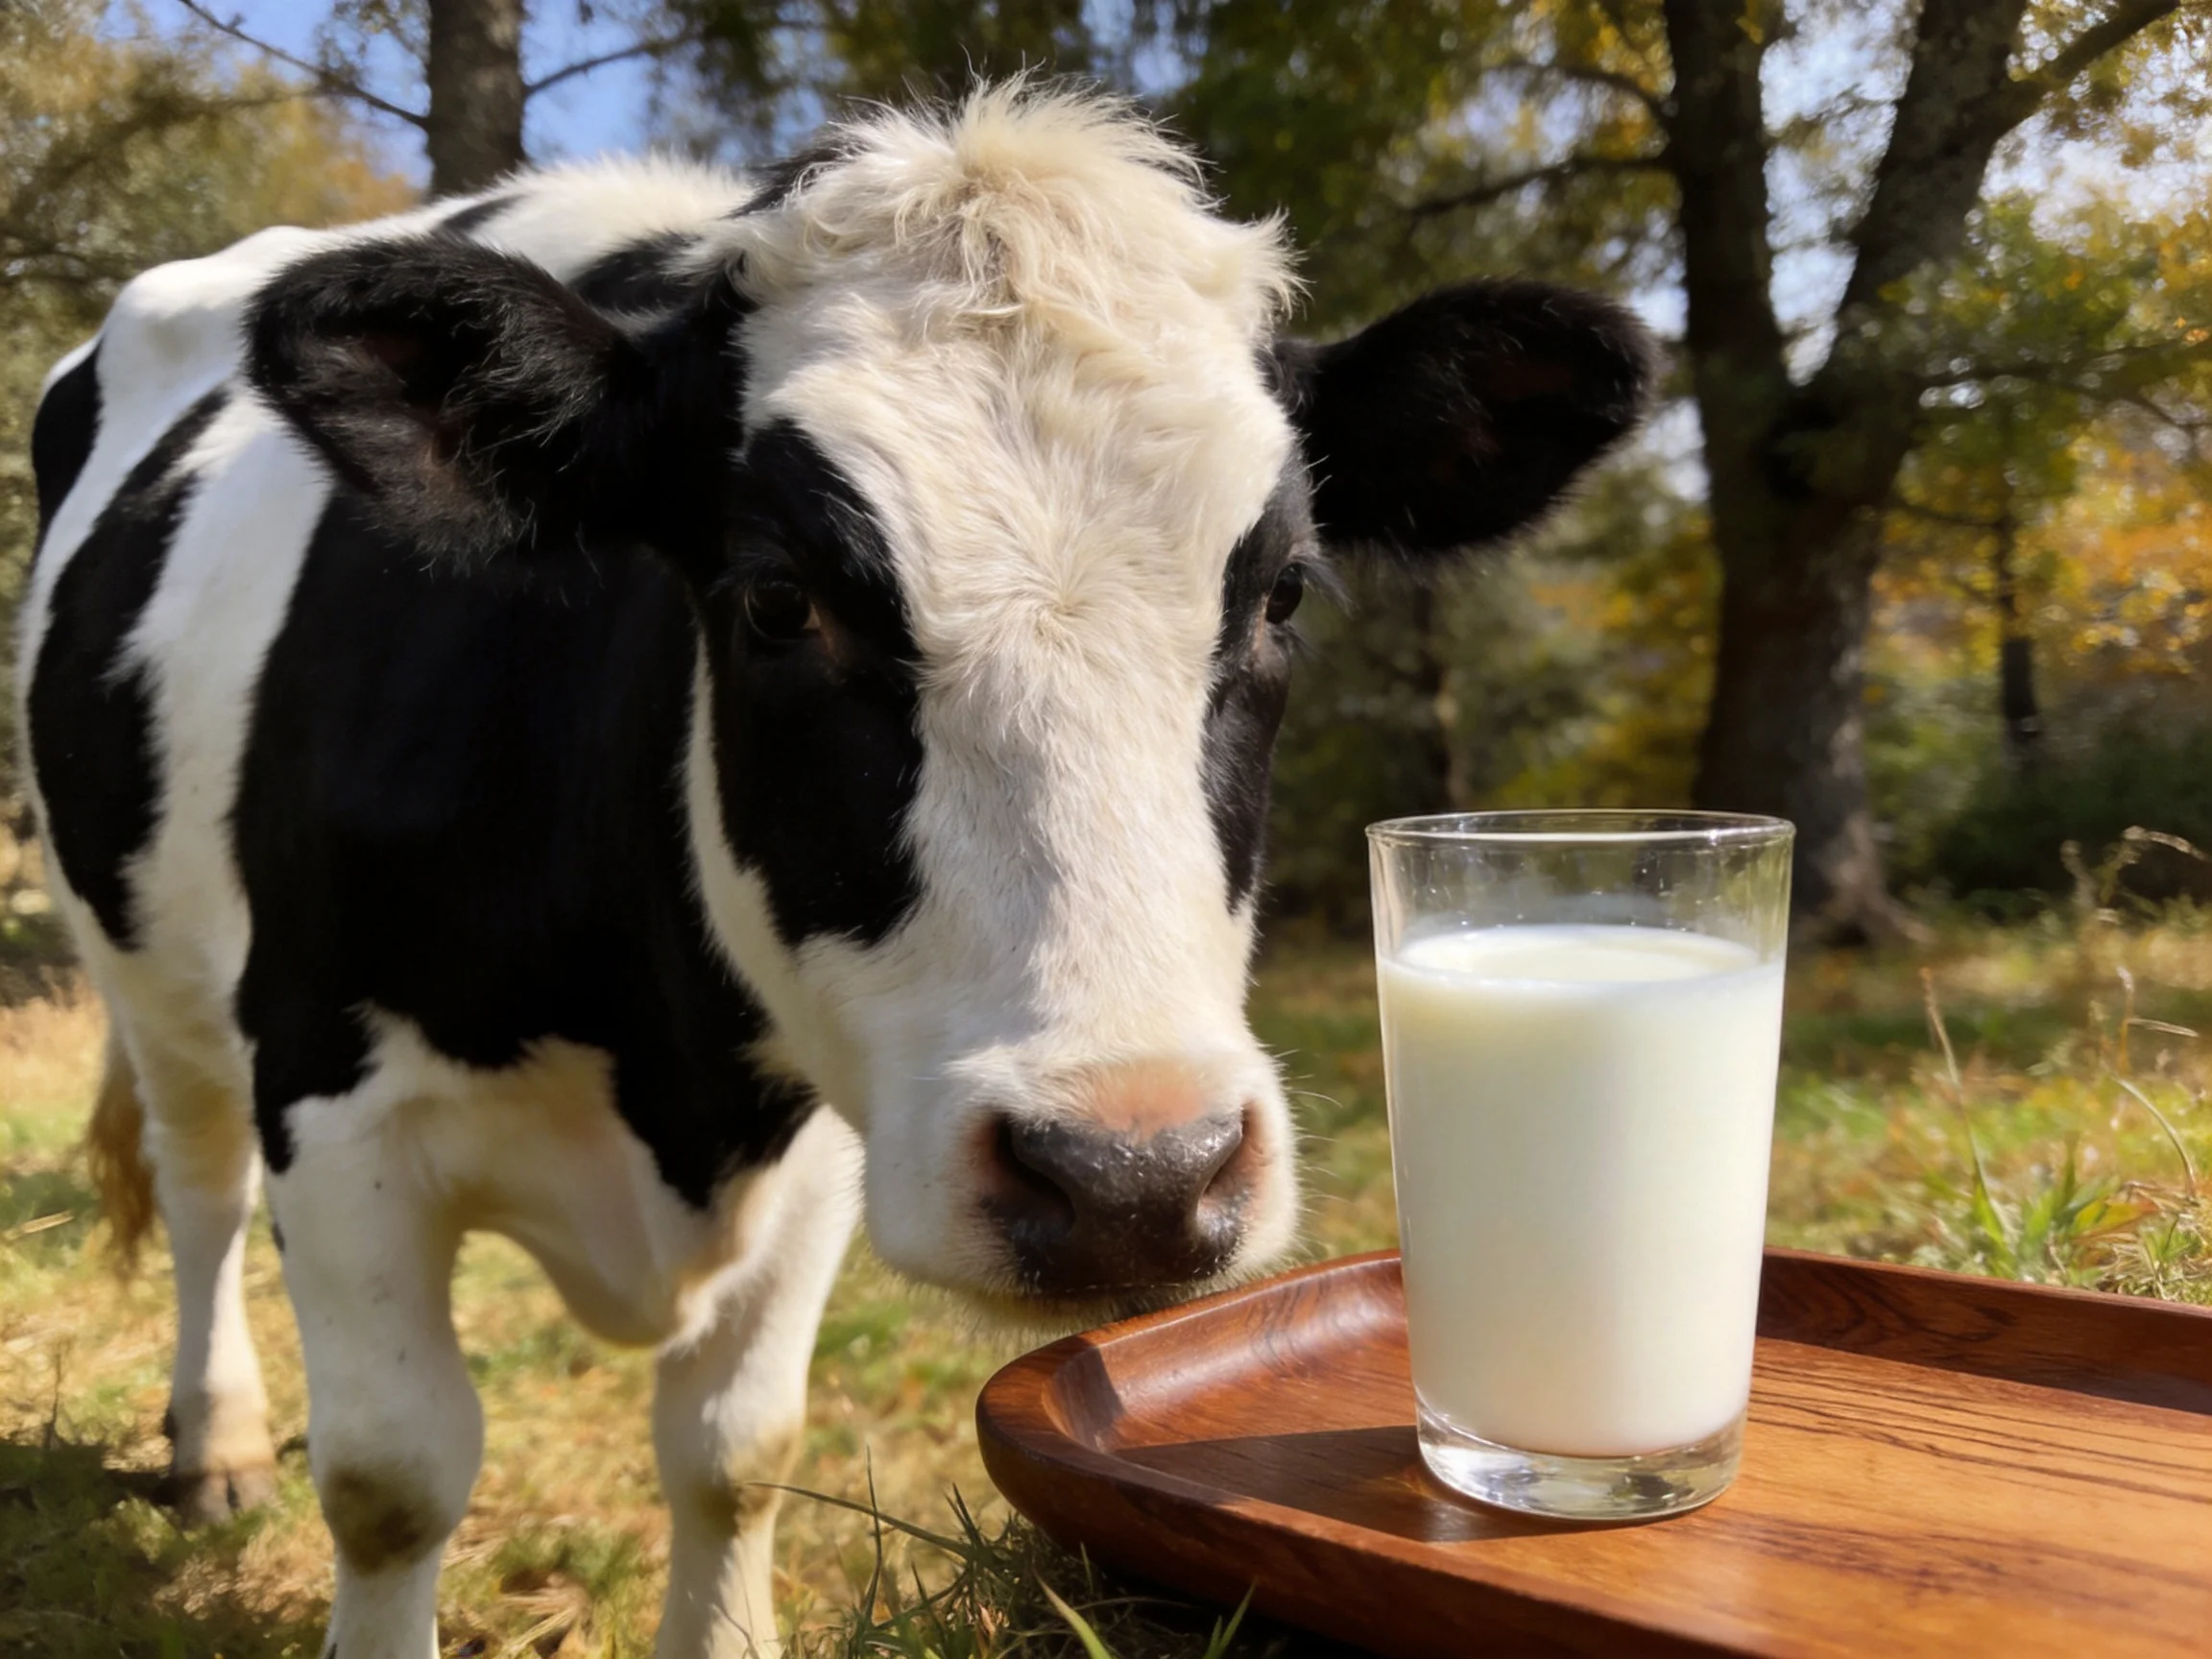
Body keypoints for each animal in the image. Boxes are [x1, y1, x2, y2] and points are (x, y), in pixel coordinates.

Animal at [19, 86, 1649, 1658]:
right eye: (778, 601)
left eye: (1284, 595)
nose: (1133, 1179)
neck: (662, 1071)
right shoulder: (333, 1095)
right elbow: (392, 1479)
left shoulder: (817, 1127)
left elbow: (736, 1452)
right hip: (154, 983)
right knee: (201, 1188)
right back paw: (216, 1443)